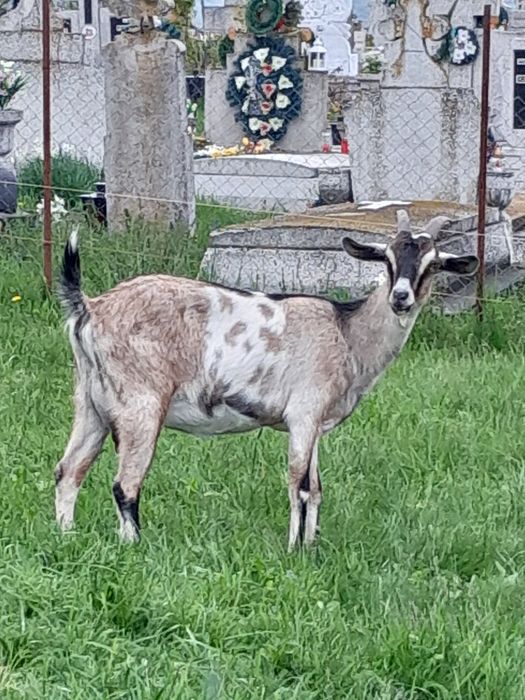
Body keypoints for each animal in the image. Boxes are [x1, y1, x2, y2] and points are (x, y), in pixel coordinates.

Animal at [55, 211, 478, 550]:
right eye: (387, 258)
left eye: (433, 264)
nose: (401, 297)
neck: (347, 332)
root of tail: (90, 308)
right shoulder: (304, 412)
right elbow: (299, 483)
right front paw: (294, 550)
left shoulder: (315, 423)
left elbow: (317, 487)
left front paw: (311, 546)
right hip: (140, 403)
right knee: (124, 484)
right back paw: (135, 546)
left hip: (90, 403)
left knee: (68, 470)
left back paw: (68, 537)